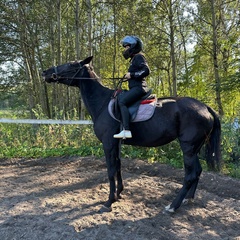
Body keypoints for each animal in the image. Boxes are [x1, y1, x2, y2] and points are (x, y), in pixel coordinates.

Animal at [42, 56, 220, 214]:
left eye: (70, 64)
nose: (45, 72)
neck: (103, 103)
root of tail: (205, 107)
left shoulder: (108, 144)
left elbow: (111, 171)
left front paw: (109, 201)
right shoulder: (116, 144)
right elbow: (118, 166)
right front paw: (119, 193)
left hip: (188, 148)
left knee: (189, 175)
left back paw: (173, 206)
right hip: (194, 148)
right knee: (197, 171)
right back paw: (188, 199)